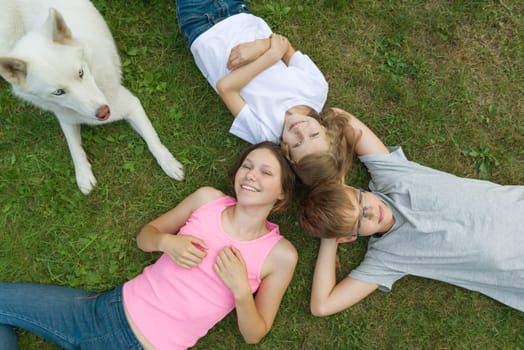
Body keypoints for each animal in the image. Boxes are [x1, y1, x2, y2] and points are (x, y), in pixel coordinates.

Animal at [0, 0, 184, 194]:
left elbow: (153, 139)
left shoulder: (132, 105)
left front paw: (169, 163)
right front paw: (83, 175)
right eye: (58, 92)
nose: (104, 112)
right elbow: (75, 149)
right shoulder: (67, 120)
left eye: (80, 73)